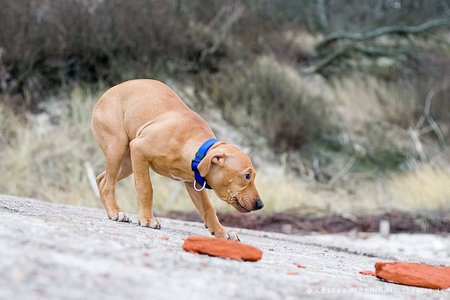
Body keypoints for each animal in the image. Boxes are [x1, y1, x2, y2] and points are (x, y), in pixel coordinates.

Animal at [90, 78, 264, 240]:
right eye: (247, 176)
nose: (260, 204)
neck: (193, 148)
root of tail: (108, 92)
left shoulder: (193, 183)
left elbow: (208, 208)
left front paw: (222, 232)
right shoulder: (139, 149)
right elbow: (146, 188)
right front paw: (148, 219)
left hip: (127, 163)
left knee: (101, 179)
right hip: (117, 147)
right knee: (108, 184)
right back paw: (115, 212)